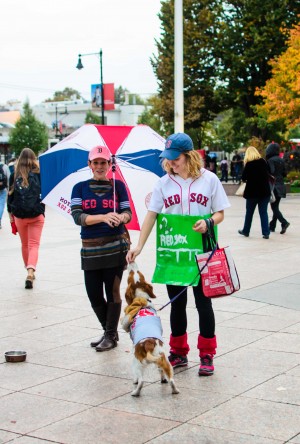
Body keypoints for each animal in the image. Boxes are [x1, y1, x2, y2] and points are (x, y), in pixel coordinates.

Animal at [121, 262, 179, 398]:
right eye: (138, 273)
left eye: (132, 273)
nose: (131, 262)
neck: (141, 300)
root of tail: (148, 343)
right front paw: (162, 379)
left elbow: (136, 378)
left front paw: (134, 382)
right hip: (164, 360)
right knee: (171, 379)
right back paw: (174, 390)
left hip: (137, 362)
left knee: (141, 381)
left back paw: (135, 392)